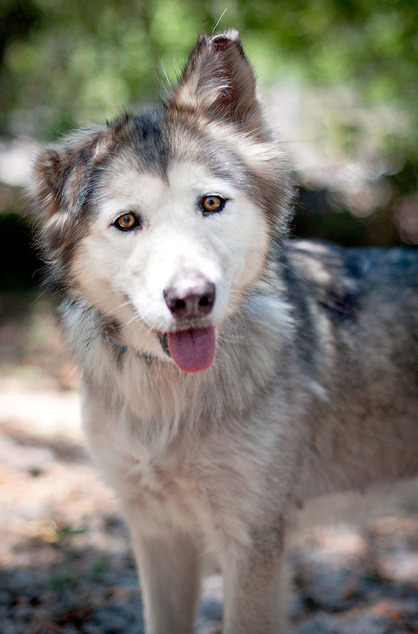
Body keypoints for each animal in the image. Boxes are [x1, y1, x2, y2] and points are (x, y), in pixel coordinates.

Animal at [33, 28, 418, 632]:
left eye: (211, 203)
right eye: (127, 221)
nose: (191, 298)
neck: (170, 402)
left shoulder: (253, 546)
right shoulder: (157, 536)